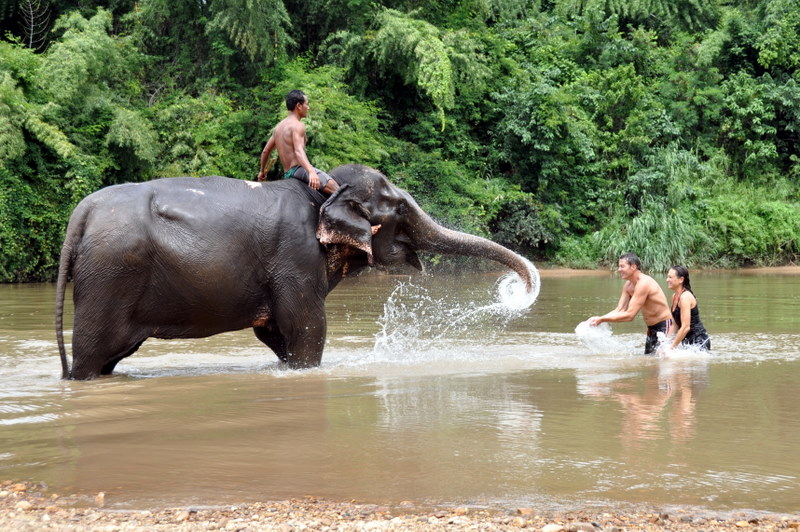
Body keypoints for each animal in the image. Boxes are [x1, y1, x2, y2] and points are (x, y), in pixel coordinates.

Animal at [54, 165, 532, 378]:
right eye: (398, 207)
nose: (516, 290)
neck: (323, 191)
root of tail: (81, 213)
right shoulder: (296, 259)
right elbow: (307, 328)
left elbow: (276, 333)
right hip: (110, 274)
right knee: (92, 355)